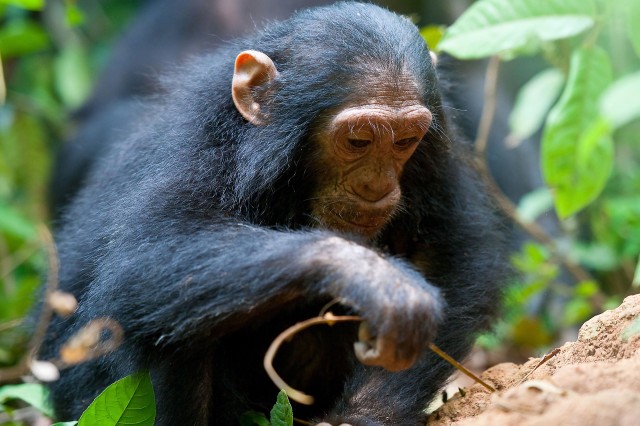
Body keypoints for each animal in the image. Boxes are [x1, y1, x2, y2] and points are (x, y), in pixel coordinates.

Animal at [42, 3, 508, 426]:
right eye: (358, 140)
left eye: (405, 141)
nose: (375, 186)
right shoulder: (197, 148)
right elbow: (150, 251)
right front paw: (378, 282)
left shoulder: (438, 156)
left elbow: (451, 254)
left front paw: (367, 413)